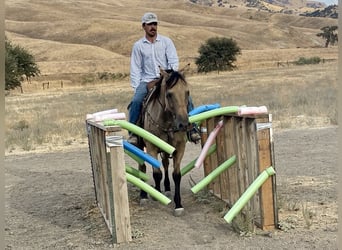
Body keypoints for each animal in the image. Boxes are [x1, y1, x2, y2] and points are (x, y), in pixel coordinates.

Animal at [136, 65, 190, 217]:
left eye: (187, 92)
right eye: (169, 94)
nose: (183, 124)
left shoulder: (180, 147)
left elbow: (176, 175)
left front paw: (178, 205)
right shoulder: (151, 147)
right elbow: (156, 173)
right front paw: (156, 194)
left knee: (165, 163)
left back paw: (166, 188)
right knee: (142, 167)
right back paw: (144, 195)